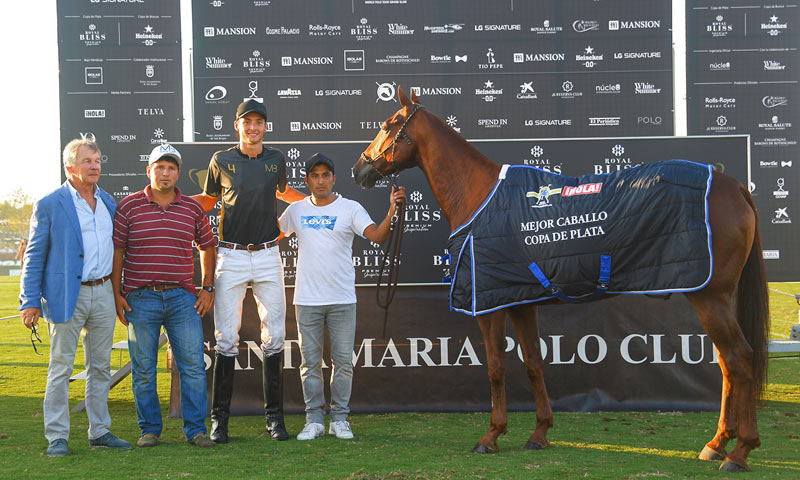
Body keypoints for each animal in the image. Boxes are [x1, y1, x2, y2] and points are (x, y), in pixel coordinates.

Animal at [352, 86, 768, 472]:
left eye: (388, 124)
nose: (360, 169)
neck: (480, 196)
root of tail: (734, 186)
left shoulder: (490, 303)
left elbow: (496, 366)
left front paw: (491, 435)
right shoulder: (520, 302)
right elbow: (534, 363)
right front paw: (539, 433)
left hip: (710, 297)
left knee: (739, 358)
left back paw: (740, 451)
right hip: (716, 298)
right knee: (728, 365)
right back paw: (717, 443)